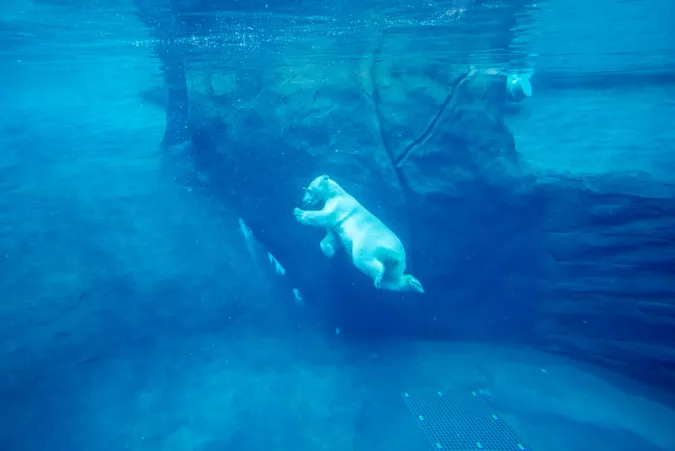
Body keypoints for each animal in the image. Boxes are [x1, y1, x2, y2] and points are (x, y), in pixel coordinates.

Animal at [294, 175, 426, 294]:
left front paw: (298, 212)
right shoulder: (336, 229)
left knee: (364, 260)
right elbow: (332, 238)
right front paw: (329, 252)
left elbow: (326, 216)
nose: (304, 202)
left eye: (308, 190)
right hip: (397, 263)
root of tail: (394, 255)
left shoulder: (341, 205)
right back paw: (414, 284)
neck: (338, 193)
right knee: (393, 278)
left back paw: (378, 278)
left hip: (369, 243)